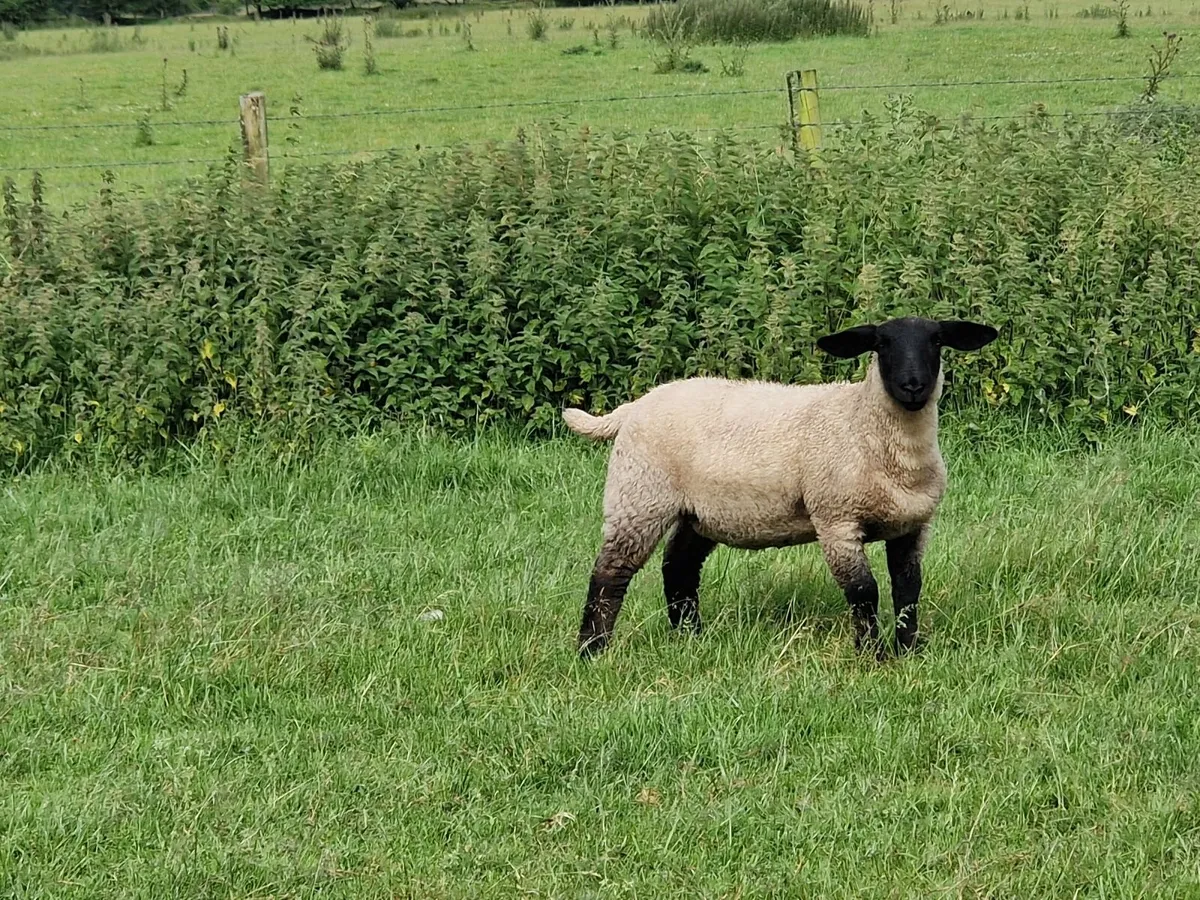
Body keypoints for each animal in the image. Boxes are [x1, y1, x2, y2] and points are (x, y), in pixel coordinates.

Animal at [562, 316, 998, 659]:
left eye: (937, 340)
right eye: (881, 343)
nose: (912, 385)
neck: (863, 424)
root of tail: (632, 408)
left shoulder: (913, 525)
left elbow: (908, 590)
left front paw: (907, 650)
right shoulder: (836, 520)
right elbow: (864, 591)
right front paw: (871, 654)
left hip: (699, 511)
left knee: (679, 567)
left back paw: (689, 636)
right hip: (639, 495)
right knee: (610, 574)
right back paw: (592, 650)